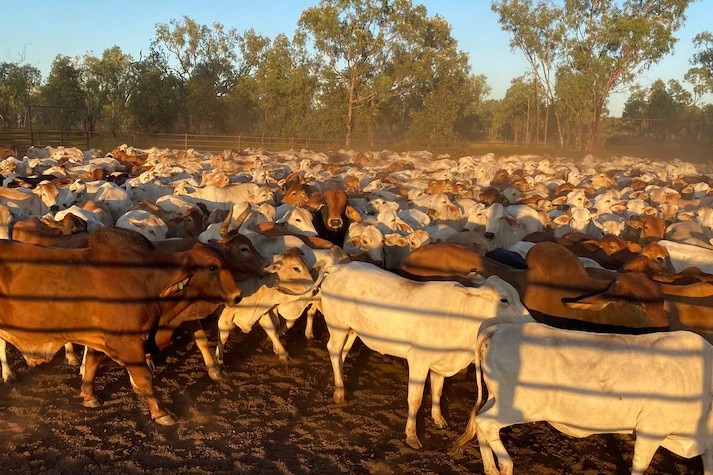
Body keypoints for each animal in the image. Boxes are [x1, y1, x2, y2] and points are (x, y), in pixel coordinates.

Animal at [0, 227, 241, 424]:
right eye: (212, 267)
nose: (238, 296)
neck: (149, 281)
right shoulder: (128, 342)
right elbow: (144, 378)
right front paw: (160, 412)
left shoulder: (100, 337)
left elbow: (92, 364)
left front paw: (88, 396)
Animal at [318, 264, 536, 450]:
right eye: (504, 300)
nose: (531, 322)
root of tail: (339, 267)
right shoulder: (418, 360)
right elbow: (415, 399)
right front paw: (412, 436)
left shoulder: (439, 363)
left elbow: (437, 391)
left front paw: (438, 419)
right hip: (337, 325)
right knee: (334, 349)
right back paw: (339, 392)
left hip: (351, 330)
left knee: (342, 353)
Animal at [454, 324, 708, 475]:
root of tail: (501, 328)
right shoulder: (652, 428)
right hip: (522, 405)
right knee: (486, 422)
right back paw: (505, 465)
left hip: (498, 397)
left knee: (480, 420)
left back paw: (491, 468)